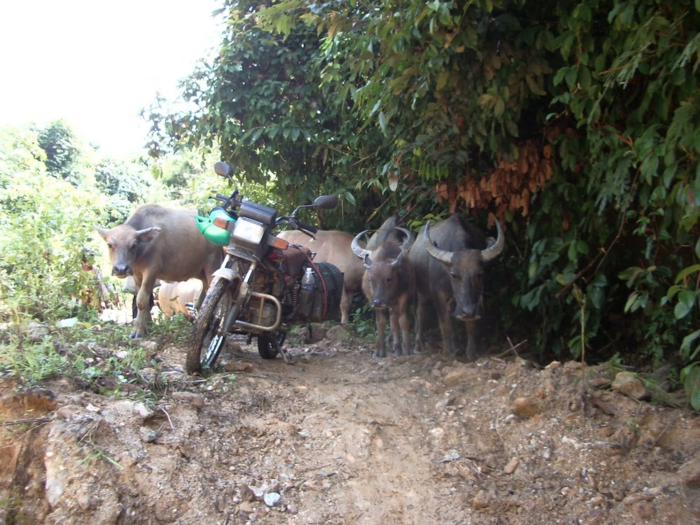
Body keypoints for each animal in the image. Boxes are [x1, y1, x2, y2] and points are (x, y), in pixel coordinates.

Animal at [95, 203, 221, 338]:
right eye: (109, 245)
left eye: (133, 245)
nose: (121, 269)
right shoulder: (137, 273)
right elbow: (143, 298)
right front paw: (148, 325)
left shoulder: (152, 270)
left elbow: (141, 299)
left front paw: (138, 330)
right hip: (200, 271)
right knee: (203, 295)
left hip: (213, 264)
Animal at [350, 221, 416, 356]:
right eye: (370, 279)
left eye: (389, 278)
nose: (378, 302)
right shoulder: (372, 299)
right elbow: (381, 322)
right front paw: (379, 350)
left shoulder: (404, 296)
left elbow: (402, 321)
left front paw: (406, 348)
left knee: (394, 319)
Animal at [408, 213, 506, 360]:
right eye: (454, 275)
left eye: (480, 274)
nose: (467, 311)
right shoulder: (439, 295)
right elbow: (444, 323)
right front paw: (448, 353)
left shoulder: (474, 302)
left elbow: (470, 325)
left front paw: (470, 354)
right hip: (421, 291)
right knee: (420, 311)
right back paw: (419, 345)